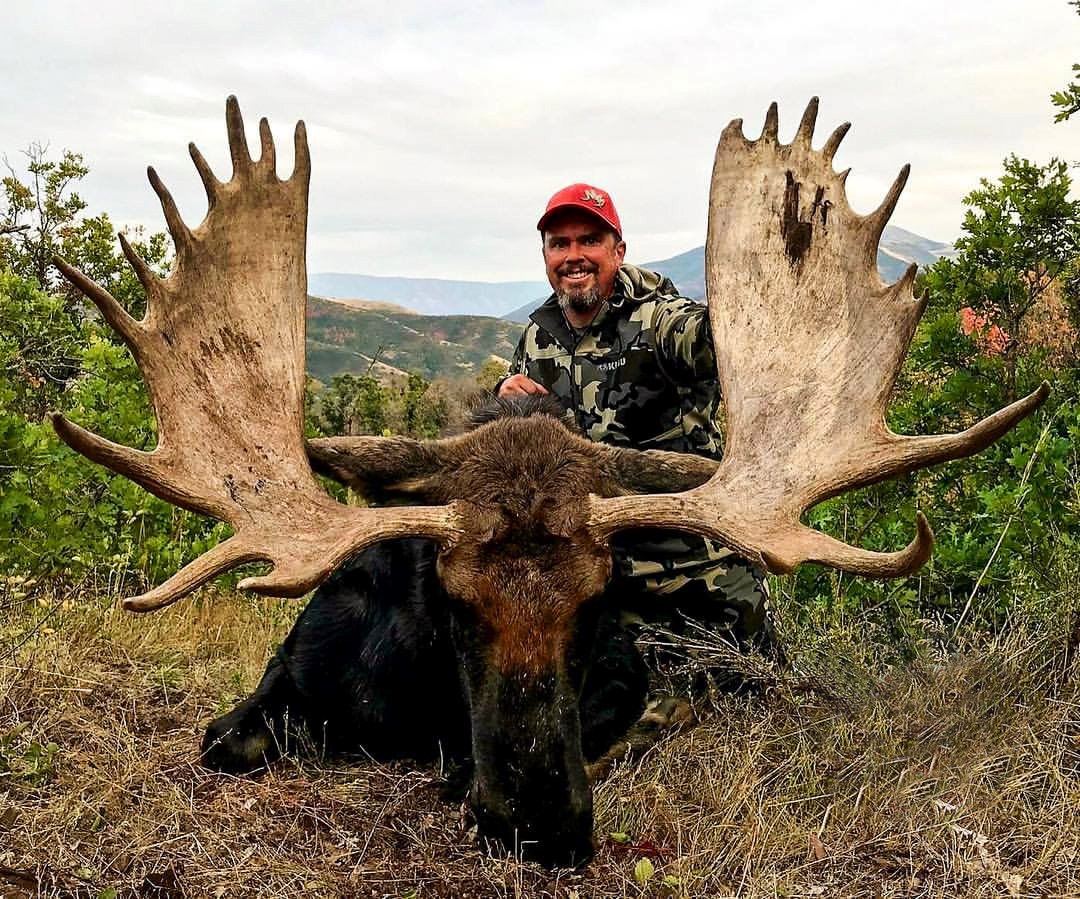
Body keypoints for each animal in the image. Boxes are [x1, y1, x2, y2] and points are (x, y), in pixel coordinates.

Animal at [50, 96, 1048, 868]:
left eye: (597, 599)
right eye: (454, 601)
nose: (542, 821)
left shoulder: (623, 676)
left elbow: (536, 739)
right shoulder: (276, 686)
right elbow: (233, 737)